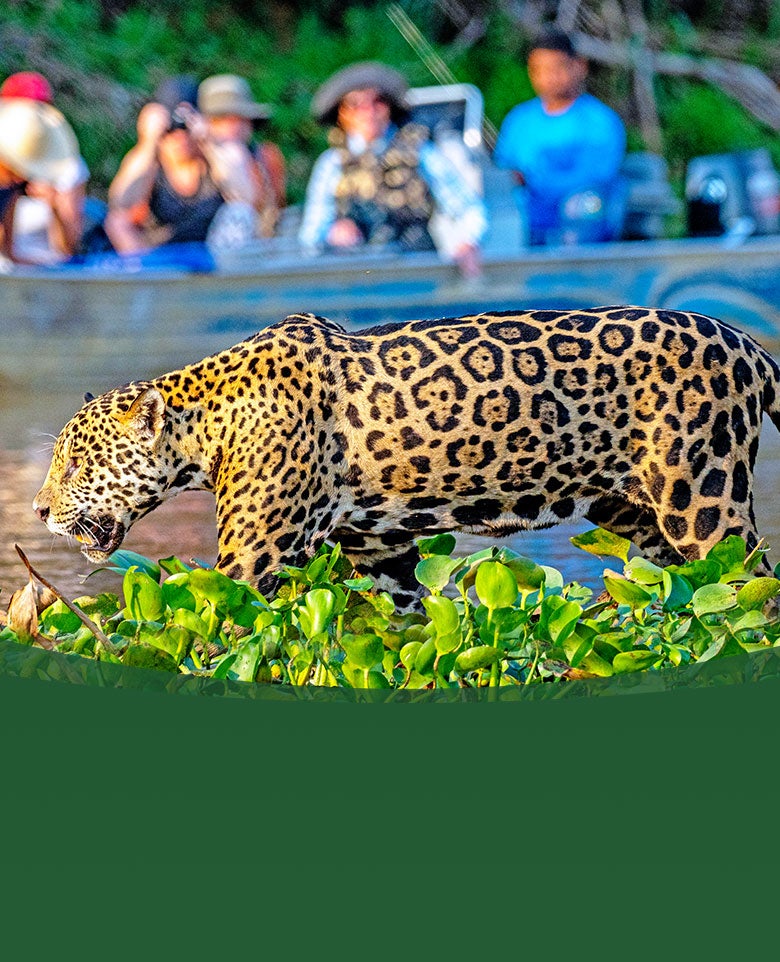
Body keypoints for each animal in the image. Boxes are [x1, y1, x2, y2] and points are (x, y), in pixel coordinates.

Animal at [34, 306, 780, 610]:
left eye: (74, 463)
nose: (39, 510)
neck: (208, 424)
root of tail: (745, 341)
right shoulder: (380, 552)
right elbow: (410, 629)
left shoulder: (251, 563)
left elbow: (209, 628)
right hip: (640, 519)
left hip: (706, 503)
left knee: (752, 590)